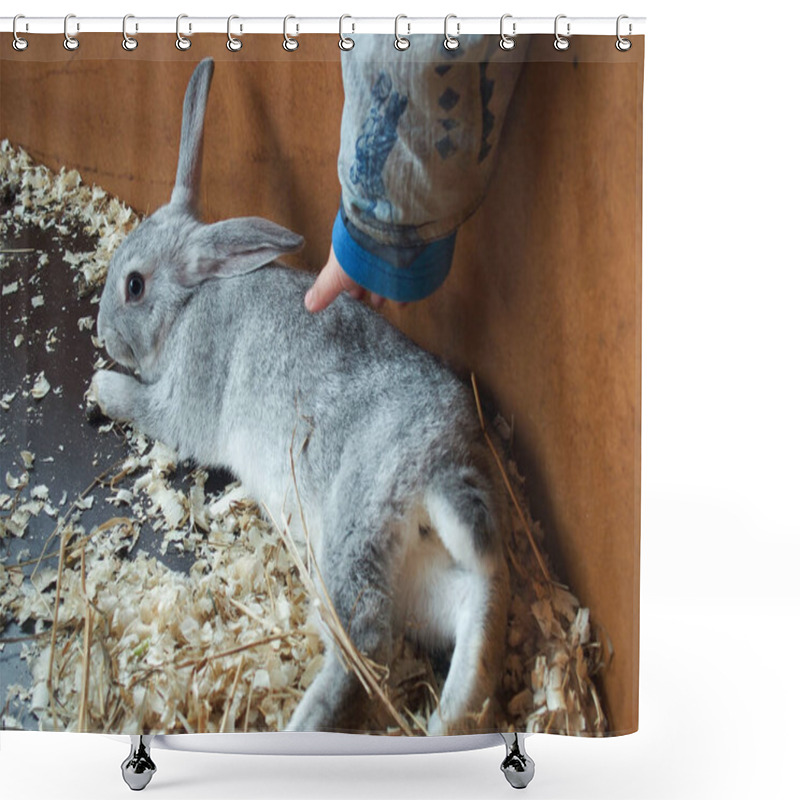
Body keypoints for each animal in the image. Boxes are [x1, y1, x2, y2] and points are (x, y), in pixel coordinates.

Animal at [90, 59, 510, 736]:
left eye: (134, 286)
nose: (103, 335)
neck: (190, 303)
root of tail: (440, 462)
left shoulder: (182, 401)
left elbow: (148, 406)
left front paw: (102, 387)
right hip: (415, 570)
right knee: (473, 602)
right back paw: (455, 715)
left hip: (353, 530)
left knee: (365, 645)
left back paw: (306, 728)